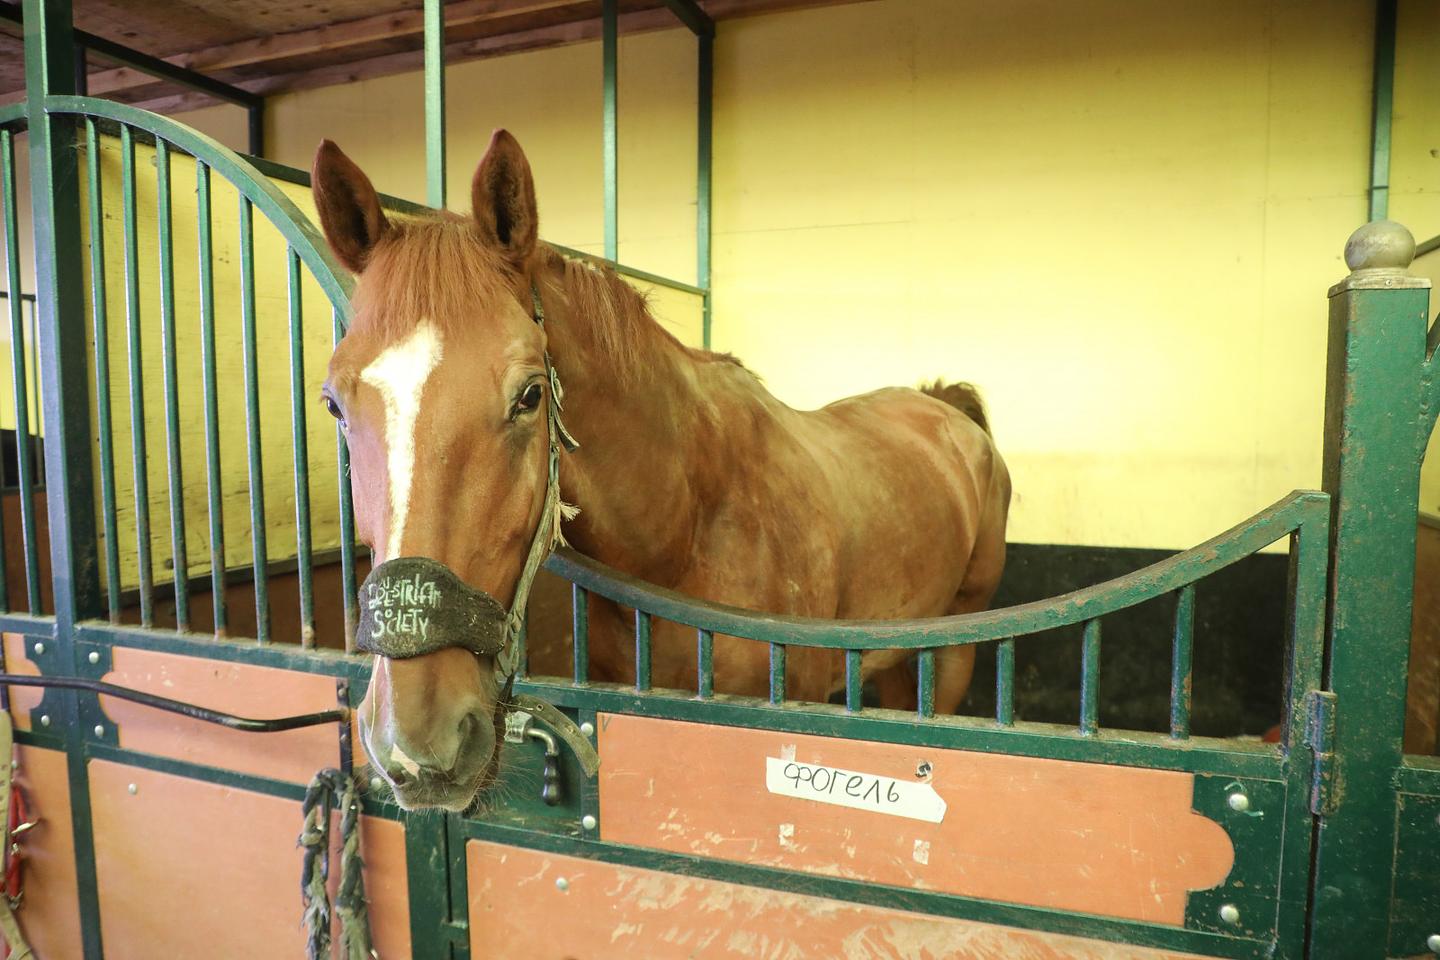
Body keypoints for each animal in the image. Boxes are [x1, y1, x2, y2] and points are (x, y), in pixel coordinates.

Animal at [315, 131, 1013, 811]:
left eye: (530, 395)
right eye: (334, 403)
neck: (689, 530)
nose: (416, 743)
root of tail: (945, 409)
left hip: (952, 654)